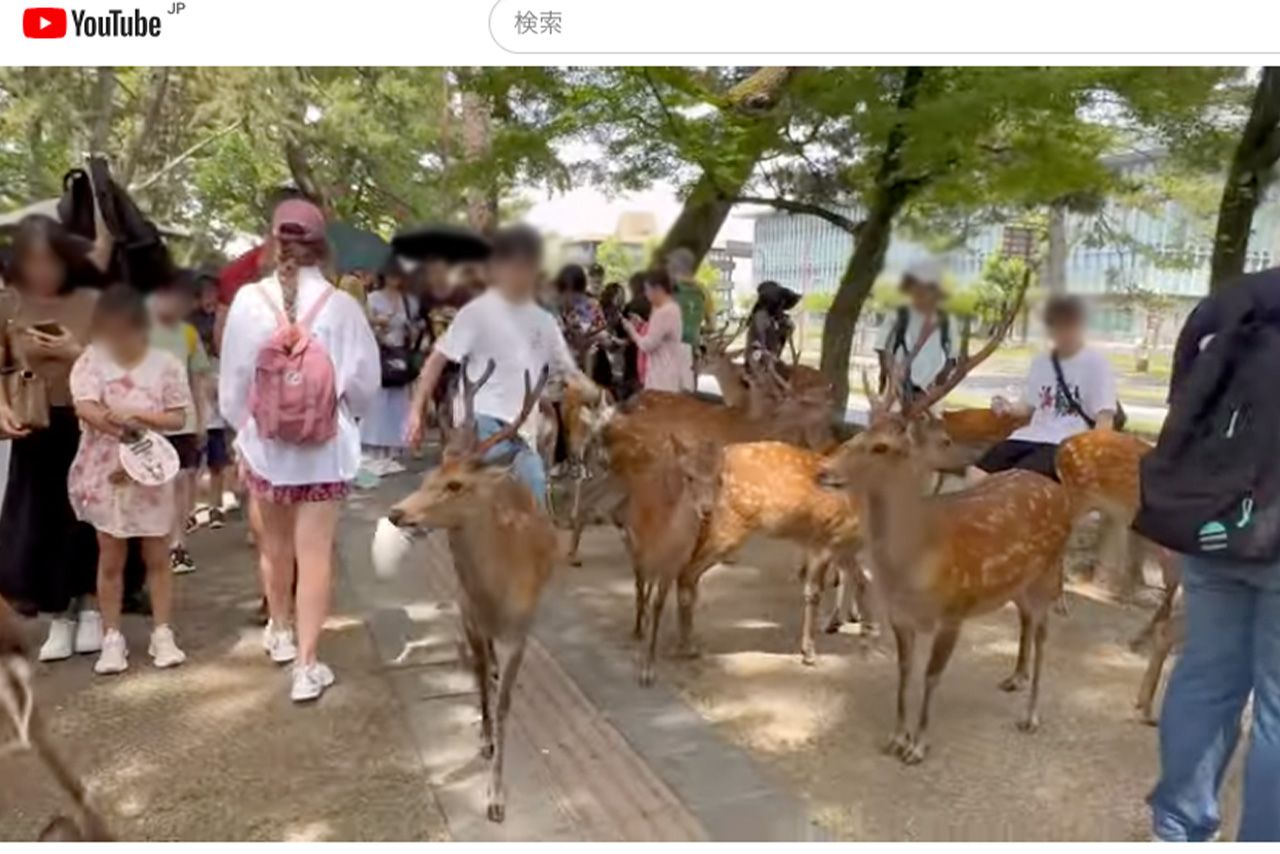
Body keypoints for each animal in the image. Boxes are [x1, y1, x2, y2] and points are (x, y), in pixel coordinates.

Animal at [385, 358, 554, 823]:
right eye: (429, 476)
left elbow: (505, 704)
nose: (397, 512)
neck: (495, 595)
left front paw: (495, 798)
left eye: (455, 485)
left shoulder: (520, 630)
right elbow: (479, 681)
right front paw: (484, 740)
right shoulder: (469, 615)